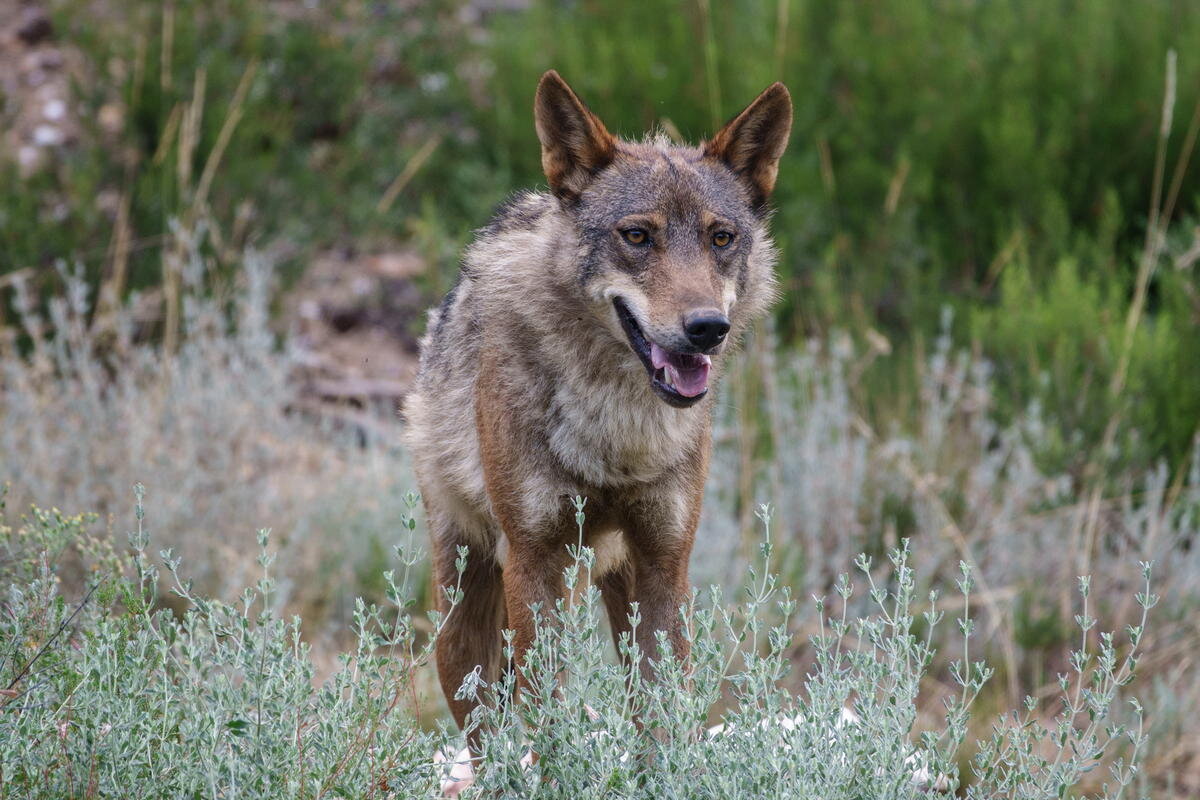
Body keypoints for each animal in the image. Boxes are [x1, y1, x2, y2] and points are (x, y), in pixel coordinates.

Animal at [405, 68, 787, 743]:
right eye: (637, 235)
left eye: (721, 238)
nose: (706, 328)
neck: (618, 435)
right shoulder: (533, 559)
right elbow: (547, 722)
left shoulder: (665, 563)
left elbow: (663, 725)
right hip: (465, 621)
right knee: (488, 730)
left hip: (614, 579)